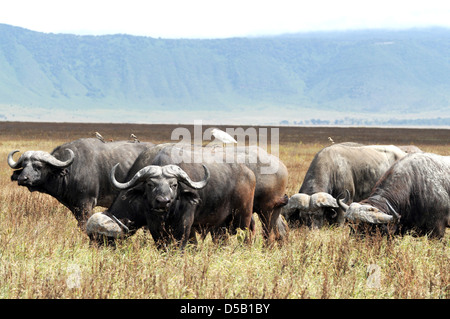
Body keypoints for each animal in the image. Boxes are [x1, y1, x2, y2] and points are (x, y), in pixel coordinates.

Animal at [7, 139, 152, 229]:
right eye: (24, 165)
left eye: (38, 166)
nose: (22, 179)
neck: (70, 170)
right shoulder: (75, 207)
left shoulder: (86, 204)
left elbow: (84, 224)